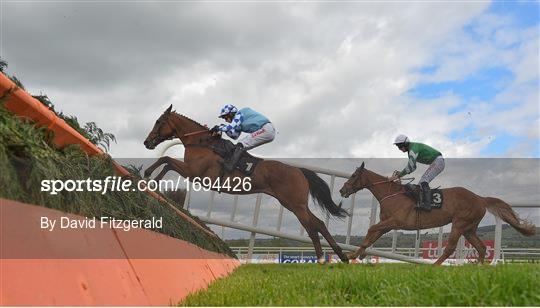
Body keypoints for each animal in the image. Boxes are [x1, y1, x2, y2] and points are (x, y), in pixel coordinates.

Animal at [143, 104, 350, 264]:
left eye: (159, 121)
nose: (147, 142)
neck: (201, 142)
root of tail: (299, 171)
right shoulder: (192, 172)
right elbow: (167, 161)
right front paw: (151, 179)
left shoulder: (194, 173)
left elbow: (167, 160)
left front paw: (149, 176)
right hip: (296, 204)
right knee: (319, 224)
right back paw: (342, 257)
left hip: (294, 204)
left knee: (311, 229)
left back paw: (322, 260)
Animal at [340, 161, 532, 264]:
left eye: (354, 176)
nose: (342, 190)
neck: (392, 194)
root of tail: (480, 198)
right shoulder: (387, 225)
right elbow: (372, 235)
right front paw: (356, 254)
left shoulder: (395, 221)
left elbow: (370, 230)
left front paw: (353, 254)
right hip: (469, 229)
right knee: (481, 247)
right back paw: (479, 267)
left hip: (459, 224)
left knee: (450, 248)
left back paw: (434, 266)